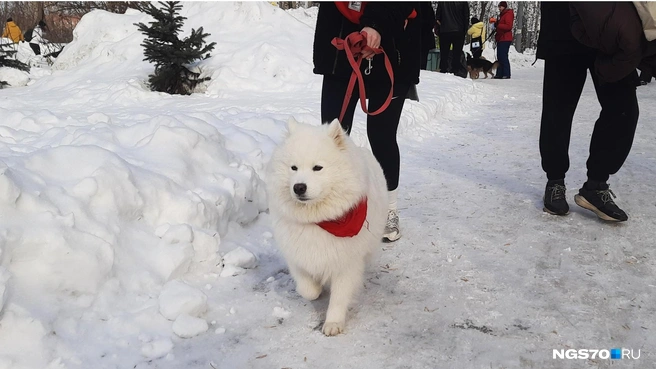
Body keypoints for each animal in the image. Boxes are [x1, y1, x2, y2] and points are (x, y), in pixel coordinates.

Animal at [268, 118, 390, 336]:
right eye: (293, 168)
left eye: (318, 168)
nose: (299, 187)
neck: (318, 220)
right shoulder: (296, 255)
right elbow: (307, 290)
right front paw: (316, 290)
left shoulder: (346, 263)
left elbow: (339, 297)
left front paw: (333, 322)